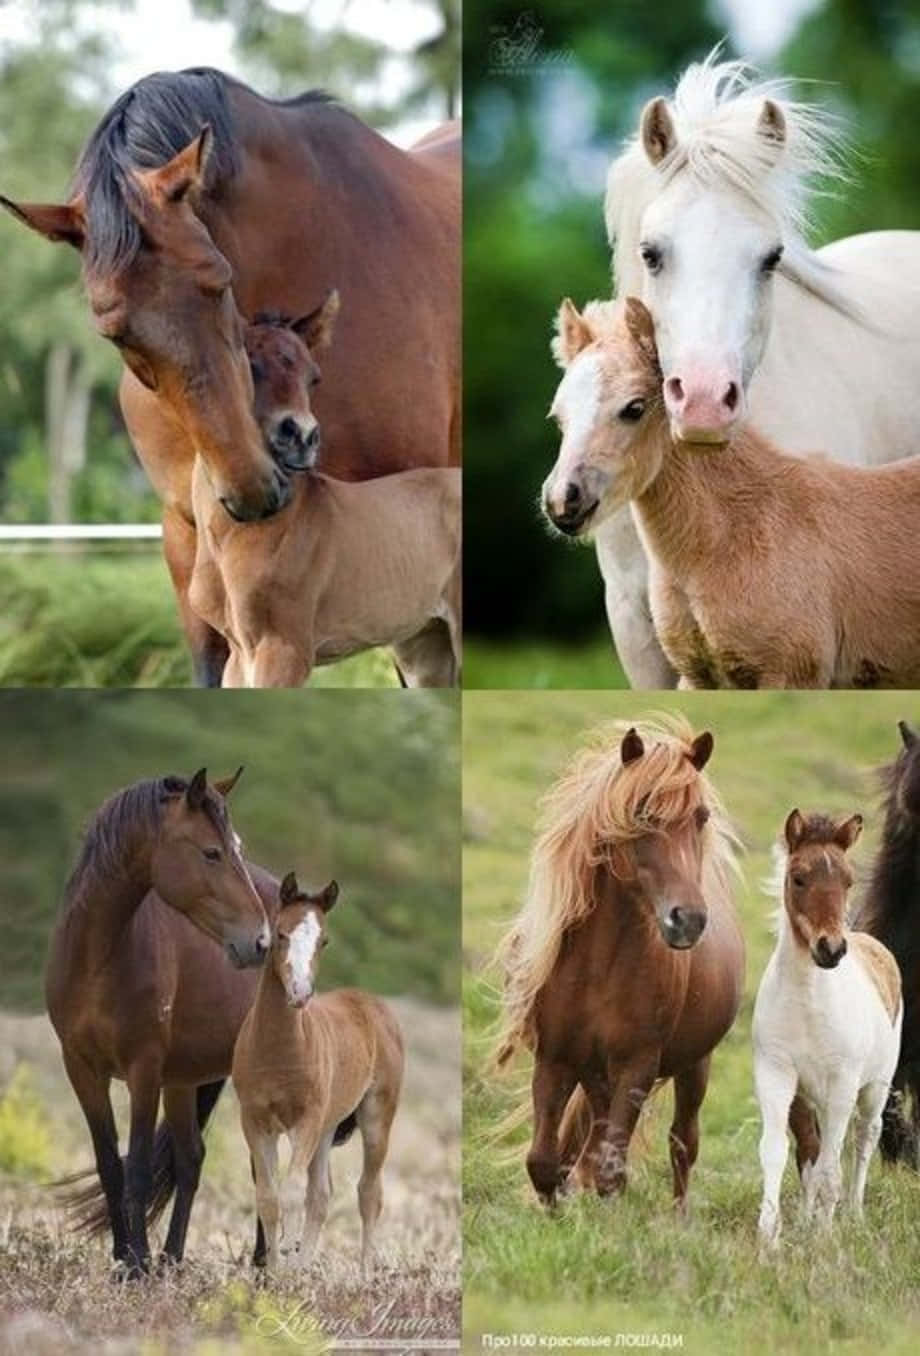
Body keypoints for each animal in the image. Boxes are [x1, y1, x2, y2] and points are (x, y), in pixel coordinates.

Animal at [45, 768, 274, 1275]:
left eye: (238, 847)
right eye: (211, 852)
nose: (261, 941)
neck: (98, 958)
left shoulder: (143, 1070)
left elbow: (138, 1167)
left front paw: (137, 1265)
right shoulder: (81, 1068)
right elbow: (111, 1164)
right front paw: (124, 1258)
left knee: (263, 1165)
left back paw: (262, 1266)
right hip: (185, 1080)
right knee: (191, 1159)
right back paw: (173, 1258)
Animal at [189, 300, 462, 688]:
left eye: (313, 377)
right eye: (251, 366)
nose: (302, 436)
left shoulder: (284, 649)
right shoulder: (239, 656)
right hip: (425, 644)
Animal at [232, 872, 404, 1274]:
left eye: (323, 941)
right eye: (281, 933)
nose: (300, 993)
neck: (278, 1052)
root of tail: (372, 1004)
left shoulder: (305, 1120)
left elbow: (292, 1191)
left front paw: (283, 1266)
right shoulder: (255, 1121)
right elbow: (269, 1197)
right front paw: (276, 1271)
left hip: (376, 1116)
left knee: (369, 1192)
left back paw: (364, 1273)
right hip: (328, 1126)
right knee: (322, 1195)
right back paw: (304, 1266)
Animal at [496, 717, 744, 1210]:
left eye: (701, 817)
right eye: (642, 813)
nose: (689, 920)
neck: (600, 966)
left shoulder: (637, 1066)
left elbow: (612, 1171)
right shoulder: (555, 1060)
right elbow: (543, 1162)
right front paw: (555, 1215)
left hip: (694, 1065)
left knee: (682, 1143)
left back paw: (678, 1216)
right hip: (595, 1075)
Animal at [753, 810, 902, 1252]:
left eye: (849, 881)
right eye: (798, 877)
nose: (831, 950)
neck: (809, 1005)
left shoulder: (842, 1085)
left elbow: (831, 1169)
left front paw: (824, 1235)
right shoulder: (778, 1077)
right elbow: (781, 1153)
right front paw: (770, 1234)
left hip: (874, 1088)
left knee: (865, 1138)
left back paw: (852, 1214)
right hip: (809, 1097)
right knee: (811, 1151)